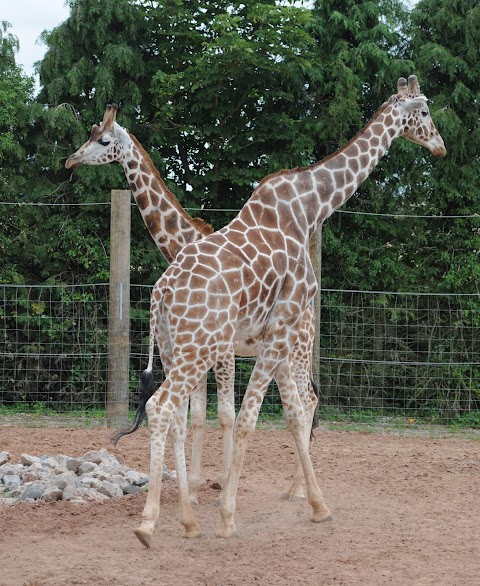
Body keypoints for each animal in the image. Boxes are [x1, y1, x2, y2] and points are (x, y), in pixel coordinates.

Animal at [64, 108, 318, 502]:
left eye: (103, 140)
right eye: (89, 135)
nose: (71, 160)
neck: (182, 244)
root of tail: (311, 312)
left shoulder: (221, 350)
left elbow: (224, 414)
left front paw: (221, 488)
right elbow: (193, 414)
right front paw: (196, 489)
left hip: (297, 349)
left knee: (307, 402)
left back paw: (298, 491)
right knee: (305, 403)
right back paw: (296, 489)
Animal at [130, 75, 446, 544]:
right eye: (424, 112)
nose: (440, 146)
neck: (311, 206)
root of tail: (160, 293)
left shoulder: (275, 334)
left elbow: (294, 416)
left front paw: (317, 506)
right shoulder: (281, 326)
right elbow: (247, 417)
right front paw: (228, 517)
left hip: (174, 350)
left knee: (174, 414)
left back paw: (187, 519)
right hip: (197, 350)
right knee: (163, 408)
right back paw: (150, 522)